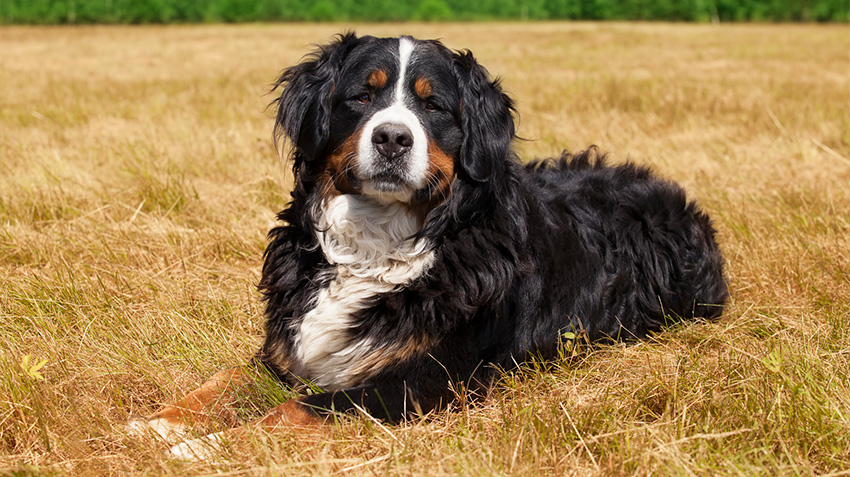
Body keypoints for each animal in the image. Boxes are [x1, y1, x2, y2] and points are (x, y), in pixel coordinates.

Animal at [129, 32, 724, 458]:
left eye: (433, 106)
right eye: (362, 96)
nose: (393, 137)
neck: (376, 244)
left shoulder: (423, 381)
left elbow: (299, 410)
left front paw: (206, 446)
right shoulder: (287, 349)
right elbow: (225, 379)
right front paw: (158, 422)